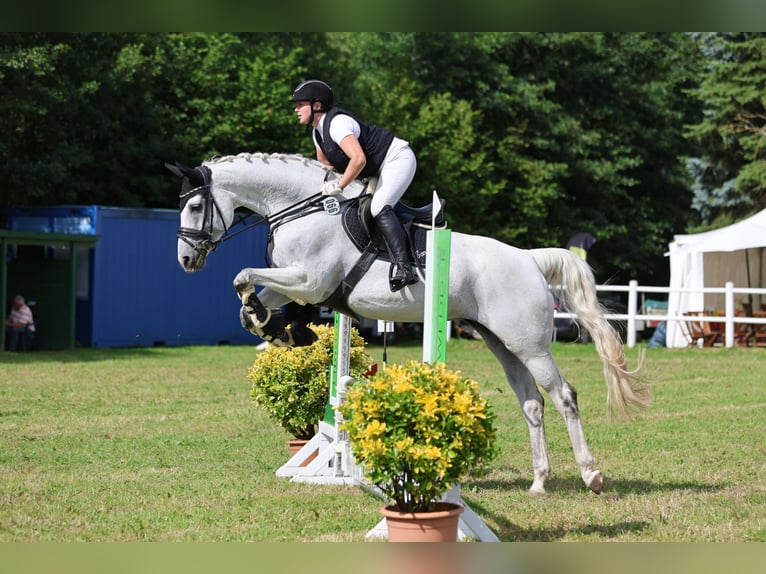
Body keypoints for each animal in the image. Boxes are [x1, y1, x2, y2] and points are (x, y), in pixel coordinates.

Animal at [170, 151, 656, 498]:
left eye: (194, 206)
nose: (186, 260)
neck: (302, 209)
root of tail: (528, 259)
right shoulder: (297, 283)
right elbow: (248, 299)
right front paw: (284, 331)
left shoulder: (309, 280)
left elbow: (242, 278)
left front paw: (282, 328)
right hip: (502, 342)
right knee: (532, 404)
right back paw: (539, 482)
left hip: (531, 345)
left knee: (564, 396)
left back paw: (591, 475)